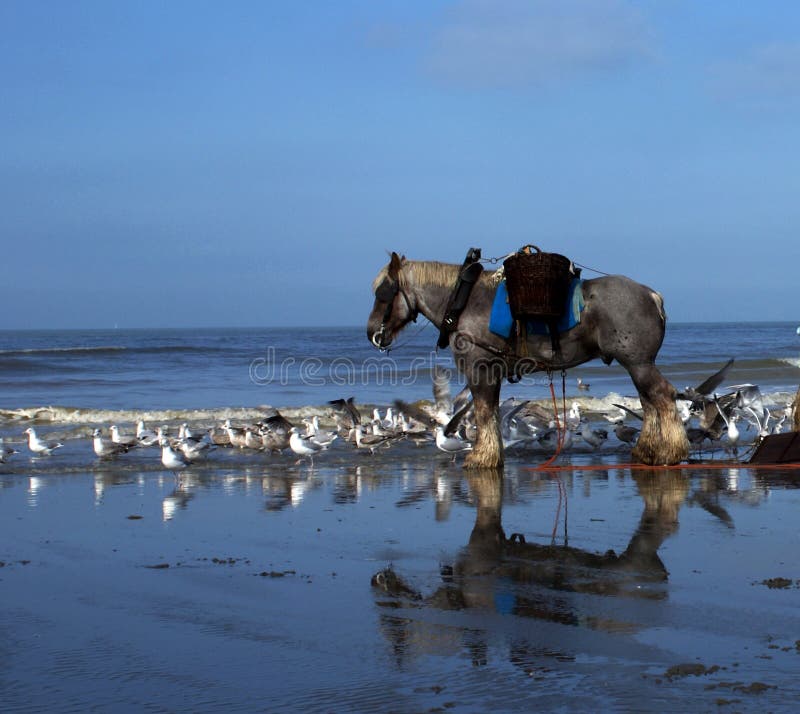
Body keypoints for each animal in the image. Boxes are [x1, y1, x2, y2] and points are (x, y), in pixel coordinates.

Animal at [366, 252, 692, 468]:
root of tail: (652, 295)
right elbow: (491, 413)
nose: (372, 333)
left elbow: (483, 412)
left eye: (384, 292)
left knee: (661, 396)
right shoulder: (492, 372)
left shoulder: (479, 369)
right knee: (649, 401)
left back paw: (670, 452)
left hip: (638, 363)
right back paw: (646, 450)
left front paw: (481, 457)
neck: (463, 301)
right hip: (638, 365)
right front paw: (492, 453)